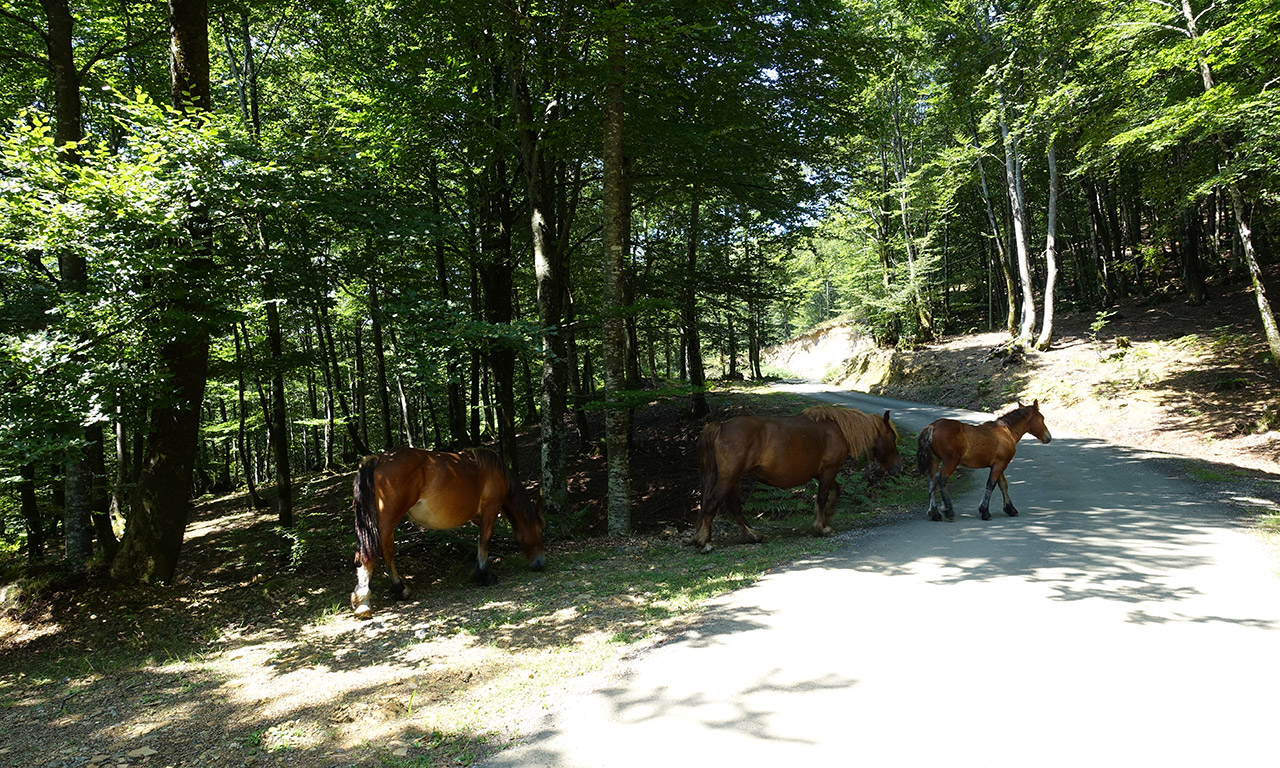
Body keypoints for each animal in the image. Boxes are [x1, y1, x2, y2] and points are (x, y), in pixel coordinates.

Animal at [350, 450, 545, 616]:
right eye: (540, 530)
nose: (540, 563)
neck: (495, 472)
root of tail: (379, 459)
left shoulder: (479, 517)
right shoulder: (491, 509)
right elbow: (485, 540)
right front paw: (484, 575)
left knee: (387, 552)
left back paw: (399, 590)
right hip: (385, 522)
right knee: (372, 554)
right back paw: (364, 603)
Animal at [696, 401, 906, 552]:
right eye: (892, 438)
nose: (898, 468)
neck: (838, 429)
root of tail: (721, 426)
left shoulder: (822, 473)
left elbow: (835, 491)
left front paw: (828, 516)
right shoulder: (829, 470)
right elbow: (821, 497)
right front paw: (822, 527)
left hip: (734, 478)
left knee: (734, 506)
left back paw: (750, 535)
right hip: (729, 477)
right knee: (713, 503)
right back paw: (706, 542)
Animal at [916, 401, 1054, 522]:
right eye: (1042, 418)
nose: (1048, 437)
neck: (1006, 431)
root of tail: (933, 427)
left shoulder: (999, 465)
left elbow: (1003, 485)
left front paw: (1010, 509)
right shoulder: (1000, 465)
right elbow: (991, 485)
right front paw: (985, 511)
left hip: (934, 460)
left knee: (932, 482)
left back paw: (935, 513)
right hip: (951, 462)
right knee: (941, 479)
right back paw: (948, 511)